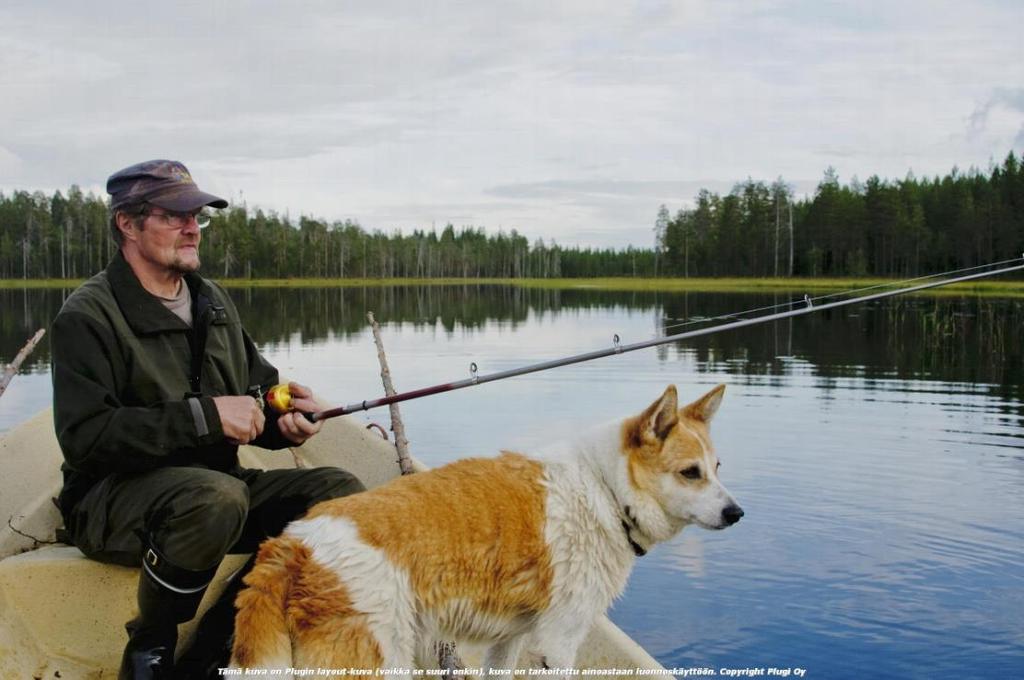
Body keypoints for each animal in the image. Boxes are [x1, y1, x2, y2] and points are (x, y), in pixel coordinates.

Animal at [232, 385, 745, 675]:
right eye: (690, 473)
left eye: (718, 467)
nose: (737, 513)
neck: (604, 488)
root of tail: (293, 544)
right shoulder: (558, 643)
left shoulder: (512, 639)